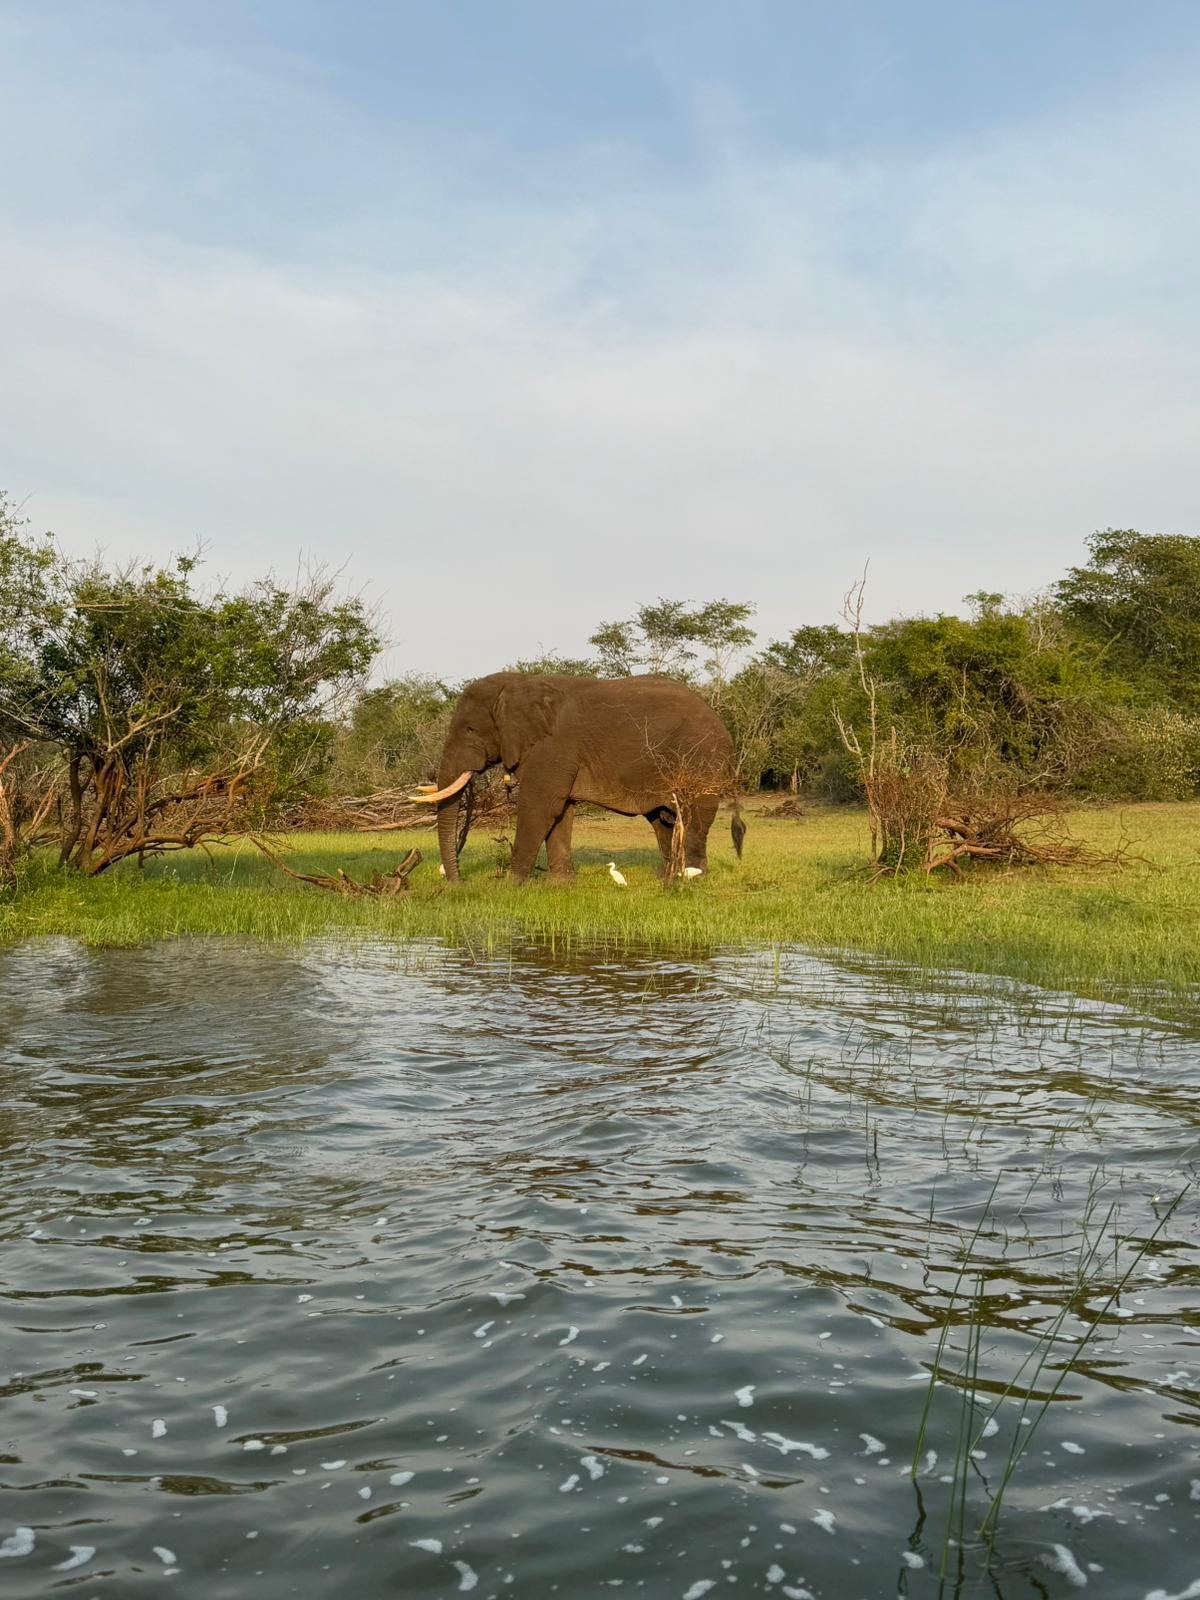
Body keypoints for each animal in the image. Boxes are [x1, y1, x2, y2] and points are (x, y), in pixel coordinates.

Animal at [410, 672, 745, 883]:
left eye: (470, 729)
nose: (457, 883)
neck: (520, 683)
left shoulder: (554, 746)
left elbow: (540, 805)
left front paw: (509, 885)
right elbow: (561, 811)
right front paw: (561, 884)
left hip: (702, 762)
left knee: (693, 818)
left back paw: (691, 879)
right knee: (664, 819)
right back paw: (667, 877)